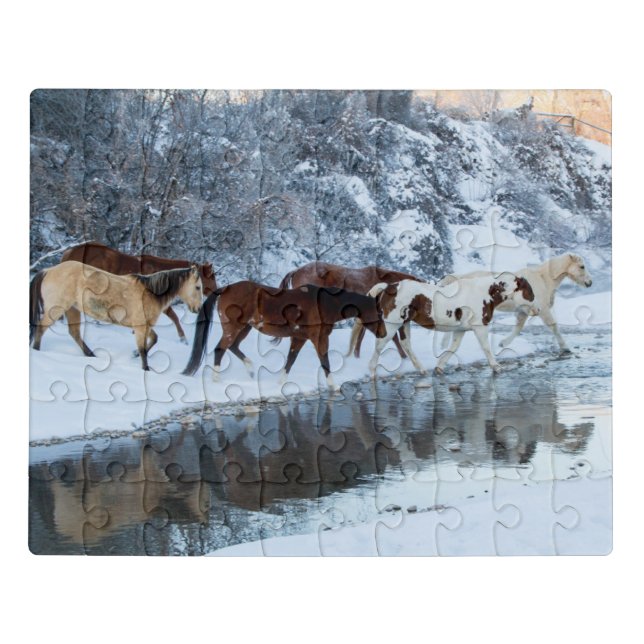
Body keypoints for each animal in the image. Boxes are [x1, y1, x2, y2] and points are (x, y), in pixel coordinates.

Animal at [30, 261, 204, 370]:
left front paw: (134, 355)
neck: (150, 293)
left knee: (74, 333)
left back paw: (91, 355)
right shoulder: (140, 326)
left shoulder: (144, 326)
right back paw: (37, 351)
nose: (198, 308)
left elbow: (153, 340)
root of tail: (48, 271)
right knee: (41, 328)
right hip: (56, 309)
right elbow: (143, 349)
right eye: (197, 287)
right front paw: (145, 368)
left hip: (72, 309)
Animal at [182, 281, 387, 390]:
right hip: (233, 328)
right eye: (379, 313)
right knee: (220, 349)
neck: (324, 304)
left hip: (245, 328)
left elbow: (291, 359)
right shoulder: (319, 338)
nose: (384, 333)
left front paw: (280, 383)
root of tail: (226, 288)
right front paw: (333, 386)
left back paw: (250, 369)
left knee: (233, 347)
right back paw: (217, 379)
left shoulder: (299, 338)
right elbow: (325, 361)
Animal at [348, 273, 538, 376]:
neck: (484, 293)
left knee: (405, 344)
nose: (537, 309)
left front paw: (439, 368)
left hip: (404, 323)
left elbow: (453, 348)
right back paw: (372, 372)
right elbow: (486, 347)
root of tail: (390, 286)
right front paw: (497, 367)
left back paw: (422, 370)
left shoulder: (461, 329)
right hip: (392, 323)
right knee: (381, 344)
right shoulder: (480, 327)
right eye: (529, 291)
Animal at [438, 253, 592, 354]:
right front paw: (565, 348)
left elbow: (518, 327)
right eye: (582, 266)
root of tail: (455, 279)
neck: (543, 279)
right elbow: (553, 326)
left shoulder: (524, 310)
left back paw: (444, 346)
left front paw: (503, 343)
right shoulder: (543, 310)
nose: (590, 283)